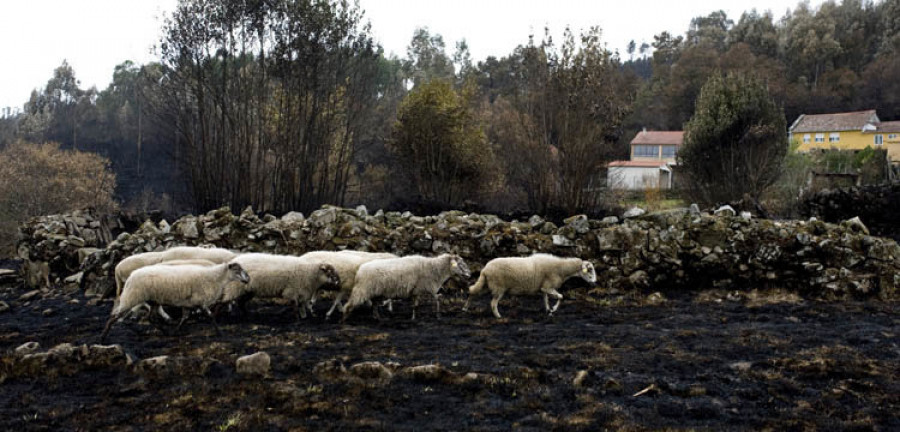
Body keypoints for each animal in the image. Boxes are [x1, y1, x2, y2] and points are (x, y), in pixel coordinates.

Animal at [100, 260, 250, 340]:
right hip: (133, 297)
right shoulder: (200, 300)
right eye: (237, 270)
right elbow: (210, 316)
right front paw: (220, 332)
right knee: (114, 316)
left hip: (153, 300)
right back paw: (103, 336)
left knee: (150, 318)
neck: (215, 278)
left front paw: (176, 331)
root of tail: (131, 276)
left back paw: (165, 332)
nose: (248, 279)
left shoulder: (190, 303)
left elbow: (185, 318)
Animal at [342, 253, 472, 320]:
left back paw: (377, 317)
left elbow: (437, 298)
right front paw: (414, 318)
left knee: (374, 304)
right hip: (362, 289)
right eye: (460, 264)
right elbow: (417, 305)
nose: (469, 274)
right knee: (350, 304)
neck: (434, 268)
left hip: (375, 291)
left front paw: (437, 314)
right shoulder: (420, 288)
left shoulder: (425, 288)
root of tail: (360, 270)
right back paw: (344, 318)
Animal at [464, 253, 596, 318]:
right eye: (589, 270)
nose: (595, 283)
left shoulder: (544, 287)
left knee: (472, 291)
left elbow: (545, 299)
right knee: (492, 303)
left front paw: (548, 310)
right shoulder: (548, 286)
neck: (561, 269)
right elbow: (561, 297)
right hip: (498, 287)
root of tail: (485, 269)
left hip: (487, 284)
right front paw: (553, 309)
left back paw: (465, 308)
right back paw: (498, 316)